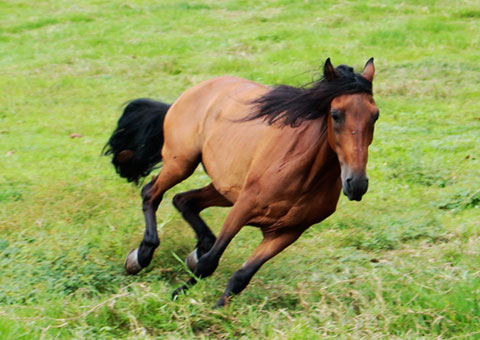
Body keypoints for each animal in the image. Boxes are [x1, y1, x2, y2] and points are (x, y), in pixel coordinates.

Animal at [104, 57, 378, 306]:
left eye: (375, 115)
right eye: (335, 114)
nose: (356, 184)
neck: (305, 173)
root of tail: (189, 94)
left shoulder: (287, 232)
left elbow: (242, 277)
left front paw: (217, 309)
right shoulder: (243, 207)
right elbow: (210, 262)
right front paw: (176, 296)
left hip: (224, 189)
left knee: (184, 200)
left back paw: (190, 250)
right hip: (181, 163)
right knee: (151, 193)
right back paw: (141, 256)